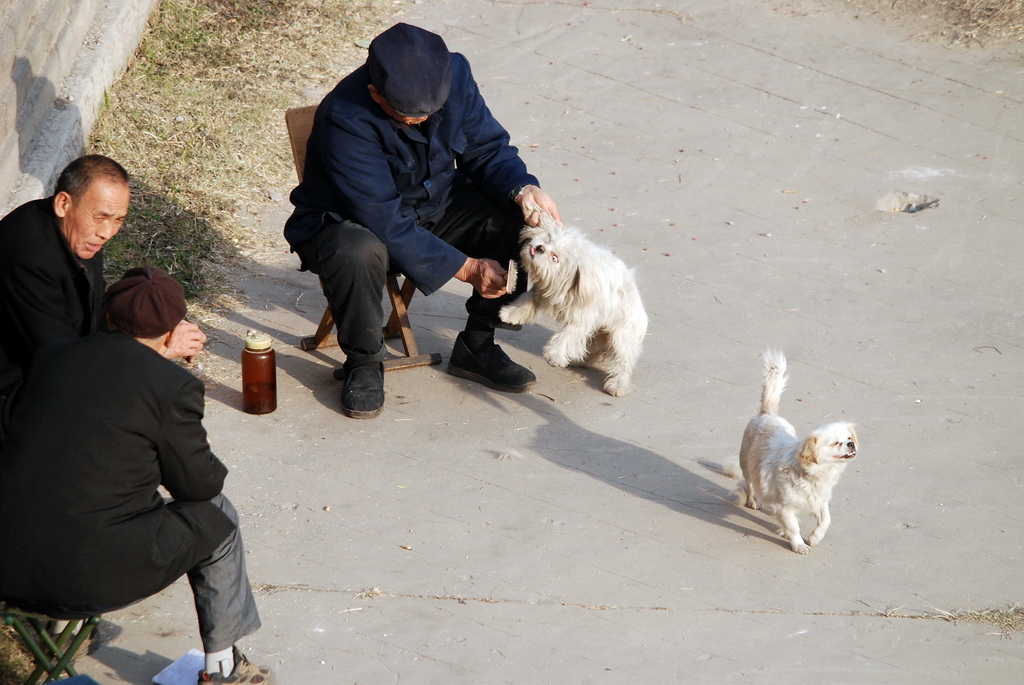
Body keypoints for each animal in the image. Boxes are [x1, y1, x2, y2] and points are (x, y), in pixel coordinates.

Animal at [497, 211, 647, 395]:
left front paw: (554, 355)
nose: (540, 248)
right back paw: (581, 360)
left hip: (621, 335)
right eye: (548, 239)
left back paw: (618, 385)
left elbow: (567, 335)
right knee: (595, 347)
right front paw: (511, 314)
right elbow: (527, 300)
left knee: (623, 361)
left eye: (555, 258)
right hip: (601, 332)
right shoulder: (542, 291)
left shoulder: (582, 318)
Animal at [737, 350, 856, 552]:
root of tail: (768, 414)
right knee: (751, 485)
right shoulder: (784, 506)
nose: (851, 444)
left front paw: (814, 538)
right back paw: (753, 502)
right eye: (835, 443)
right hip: (747, 465)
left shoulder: (819, 500)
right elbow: (793, 526)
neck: (817, 475)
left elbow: (826, 520)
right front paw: (798, 545)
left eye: (849, 438)